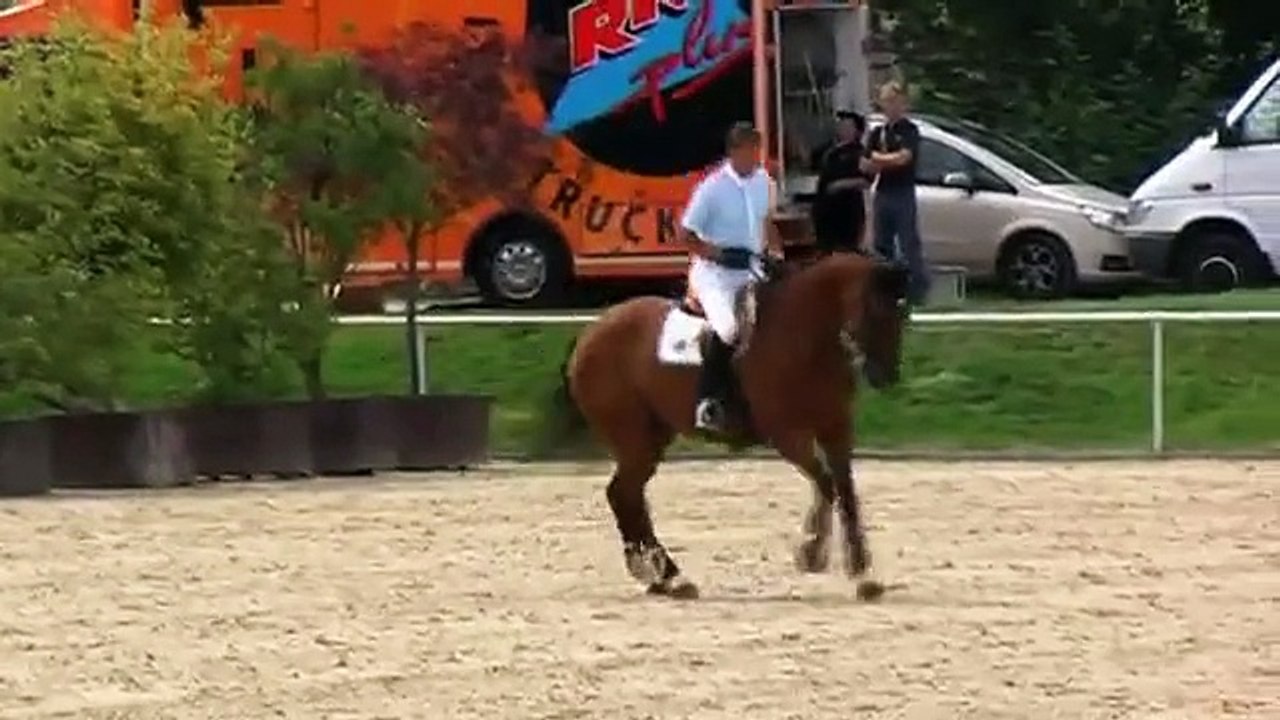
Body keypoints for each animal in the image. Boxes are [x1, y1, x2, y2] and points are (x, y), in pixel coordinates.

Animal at [544, 251, 910, 600]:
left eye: (903, 314)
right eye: (874, 309)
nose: (886, 375)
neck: (803, 335)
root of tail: (589, 335)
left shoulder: (836, 428)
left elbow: (845, 491)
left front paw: (863, 575)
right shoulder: (786, 435)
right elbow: (826, 483)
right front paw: (811, 553)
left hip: (651, 436)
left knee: (628, 495)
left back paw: (663, 578)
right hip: (634, 438)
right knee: (623, 494)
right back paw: (664, 574)